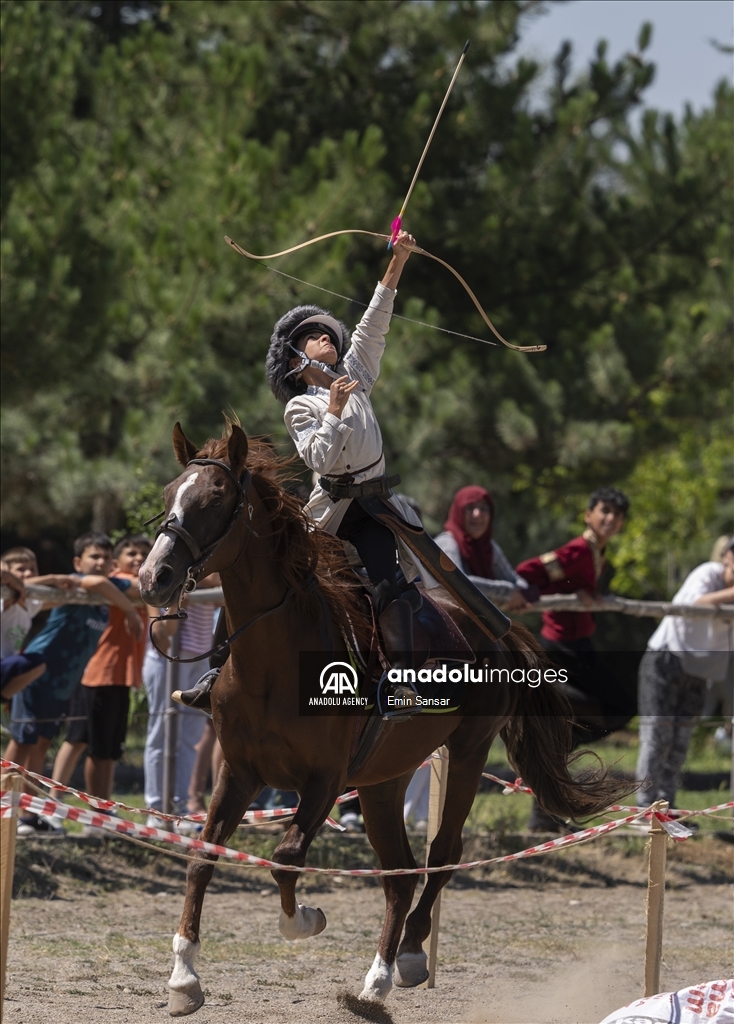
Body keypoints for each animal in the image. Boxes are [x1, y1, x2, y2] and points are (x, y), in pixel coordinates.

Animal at [139, 421, 630, 1015]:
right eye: (170, 494)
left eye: (214, 499)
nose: (153, 576)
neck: (274, 661)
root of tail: (494, 632)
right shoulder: (239, 773)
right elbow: (202, 859)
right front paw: (184, 977)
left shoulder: (325, 779)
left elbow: (286, 856)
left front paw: (305, 920)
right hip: (383, 780)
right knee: (399, 873)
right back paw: (377, 978)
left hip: (467, 751)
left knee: (442, 852)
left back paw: (412, 955)